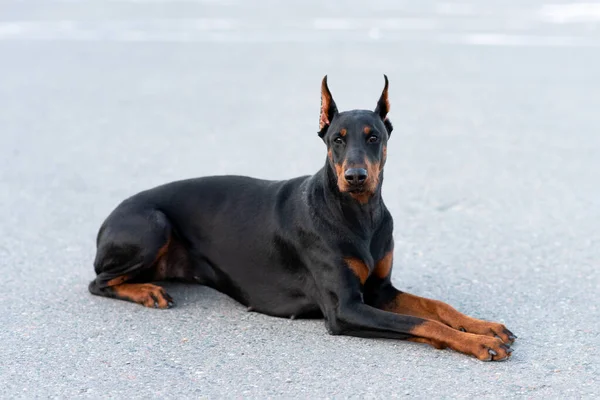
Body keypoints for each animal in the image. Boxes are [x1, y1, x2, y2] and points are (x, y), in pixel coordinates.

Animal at [89, 75, 516, 360]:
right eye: (337, 139)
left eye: (373, 136)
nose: (355, 177)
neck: (358, 215)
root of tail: (108, 219)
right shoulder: (346, 309)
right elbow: (424, 323)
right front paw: (481, 343)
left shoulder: (380, 290)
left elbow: (438, 308)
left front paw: (485, 327)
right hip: (152, 224)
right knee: (99, 282)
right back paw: (147, 292)